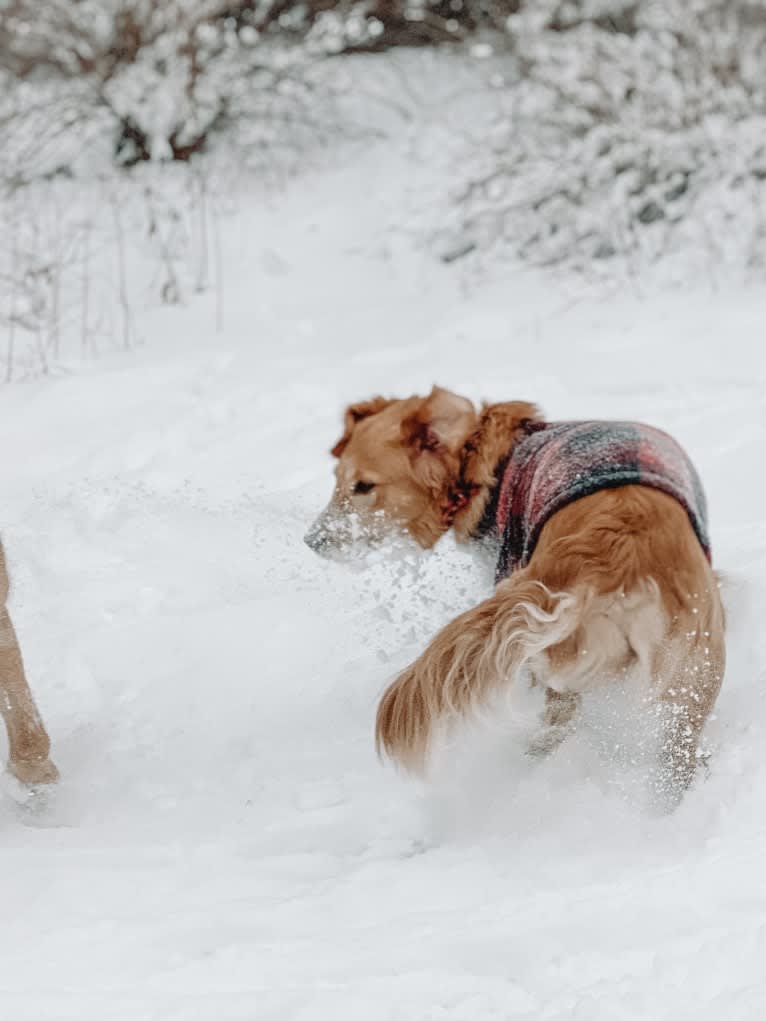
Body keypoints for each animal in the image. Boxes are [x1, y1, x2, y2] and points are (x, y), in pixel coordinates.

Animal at [306, 385, 727, 800]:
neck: (488, 463)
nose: (312, 540)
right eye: (337, 480)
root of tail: (615, 560)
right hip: (691, 675)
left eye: (364, 486)